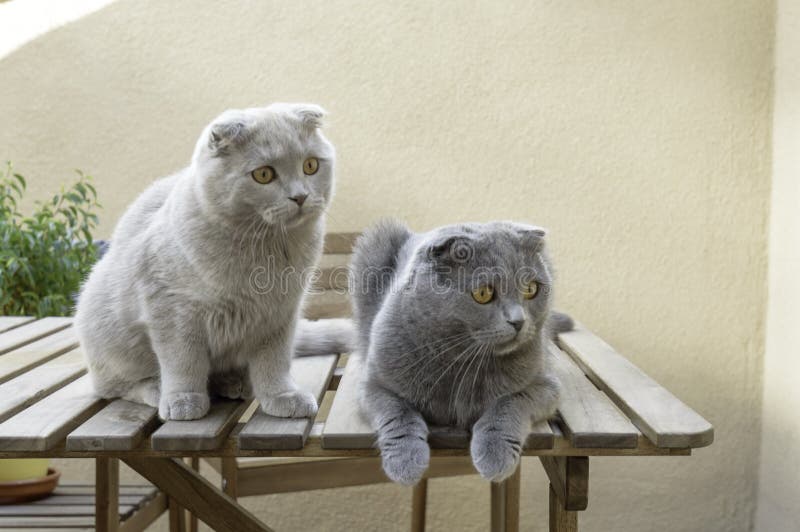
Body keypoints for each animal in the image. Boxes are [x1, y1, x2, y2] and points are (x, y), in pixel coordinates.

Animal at [72, 103, 354, 420]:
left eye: (310, 166)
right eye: (264, 174)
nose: (300, 196)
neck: (264, 250)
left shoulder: (281, 315)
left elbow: (275, 362)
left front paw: (283, 397)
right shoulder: (173, 311)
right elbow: (183, 361)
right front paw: (184, 400)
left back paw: (234, 383)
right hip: (110, 336)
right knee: (112, 386)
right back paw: (157, 389)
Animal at [350, 218, 568, 484]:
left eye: (531, 289)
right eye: (483, 293)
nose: (519, 321)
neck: (462, 358)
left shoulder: (545, 384)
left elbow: (510, 402)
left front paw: (495, 453)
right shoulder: (373, 384)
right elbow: (397, 411)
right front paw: (406, 460)